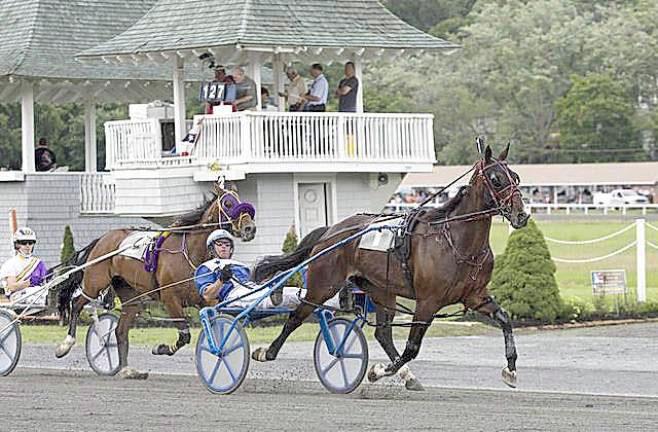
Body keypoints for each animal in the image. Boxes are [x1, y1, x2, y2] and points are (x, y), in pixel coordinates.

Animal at [54, 184, 256, 380]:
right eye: (228, 203)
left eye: (241, 200)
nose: (250, 228)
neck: (189, 252)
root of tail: (102, 239)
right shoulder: (170, 299)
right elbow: (184, 336)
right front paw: (161, 348)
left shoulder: (205, 299)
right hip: (95, 283)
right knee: (76, 303)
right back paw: (65, 345)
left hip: (130, 296)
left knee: (120, 330)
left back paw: (127, 370)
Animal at [251, 145, 528, 392]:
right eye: (496, 179)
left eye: (515, 177)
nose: (522, 215)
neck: (456, 241)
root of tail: (331, 231)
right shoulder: (428, 301)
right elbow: (412, 347)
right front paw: (379, 370)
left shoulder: (475, 296)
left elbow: (505, 320)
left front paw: (511, 370)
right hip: (323, 285)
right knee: (296, 316)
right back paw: (266, 352)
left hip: (381, 291)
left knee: (382, 334)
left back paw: (407, 376)